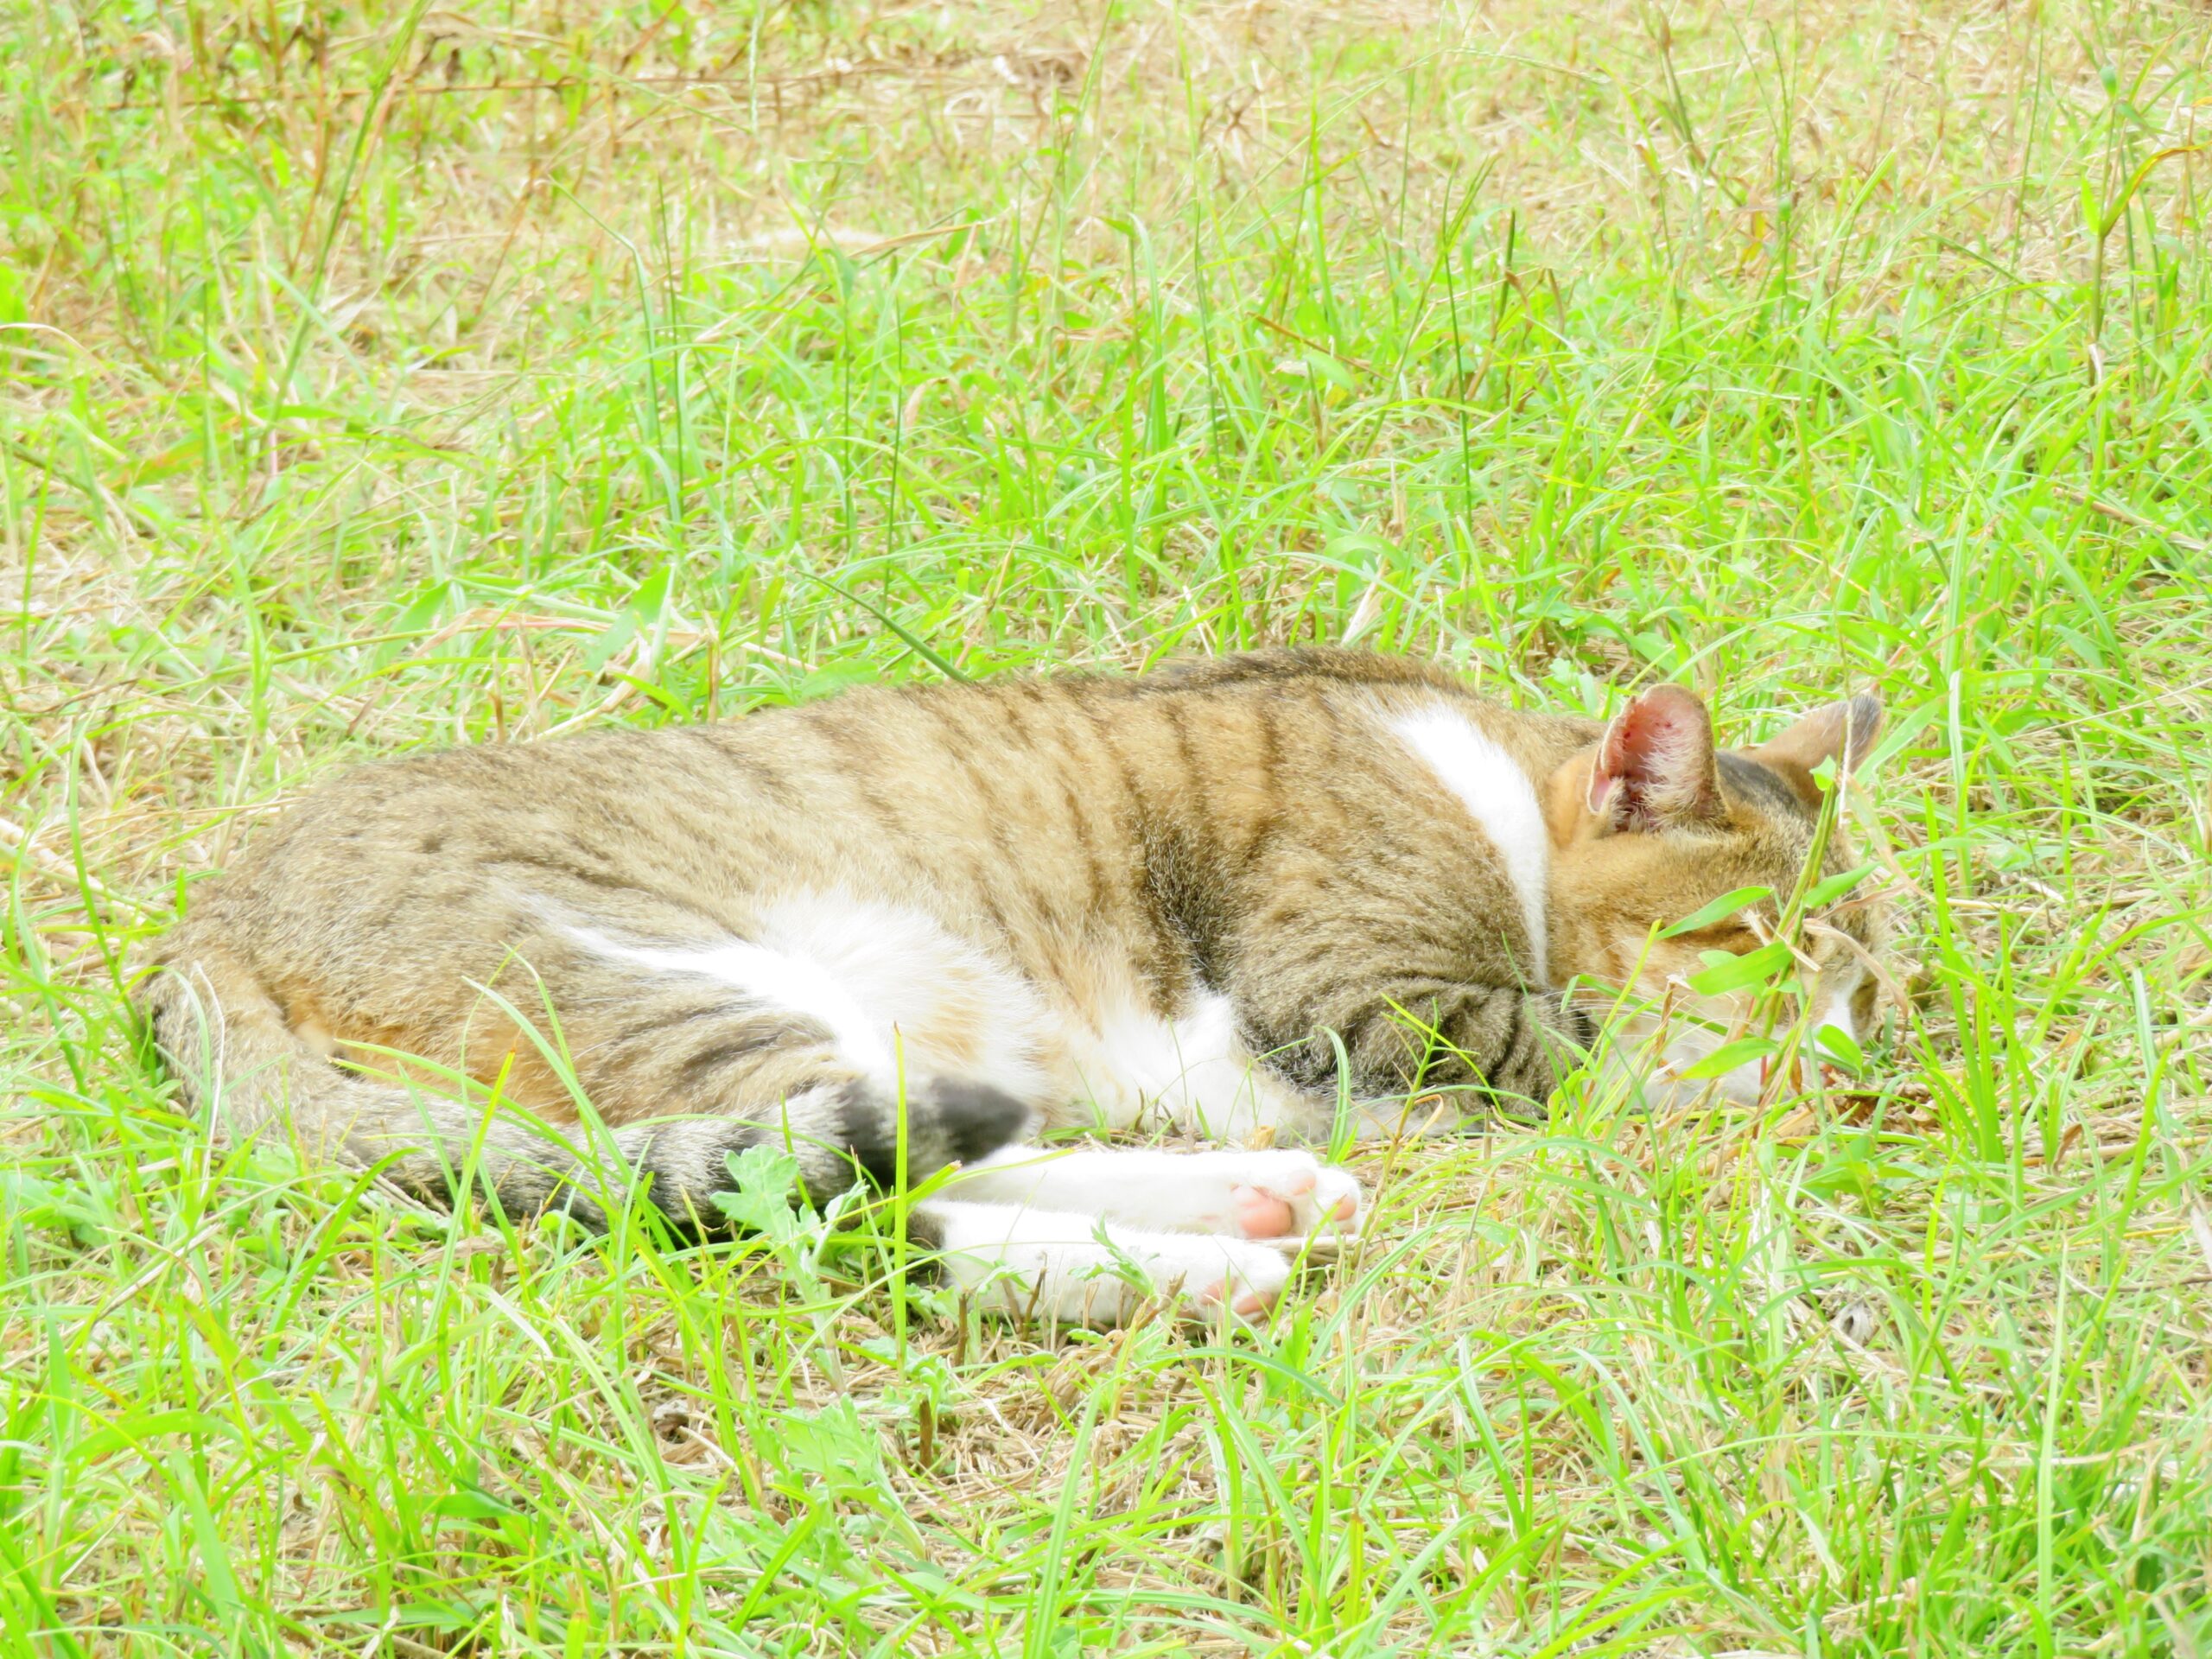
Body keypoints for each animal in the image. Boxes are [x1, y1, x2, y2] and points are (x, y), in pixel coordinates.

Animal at [147, 645, 1893, 1327]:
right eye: (1764, 945)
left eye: (1868, 983)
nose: (1856, 1054)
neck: (1504, 809)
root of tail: (206, 917)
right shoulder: (1358, 989)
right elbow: (1579, 1041)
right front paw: (1764, 1092)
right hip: (677, 987)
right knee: (841, 1219)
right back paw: (1209, 1269)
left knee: (936, 1153)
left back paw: (1255, 1203)